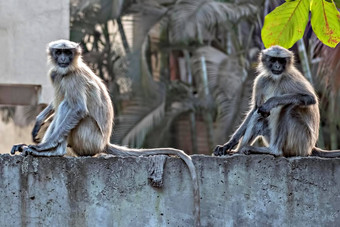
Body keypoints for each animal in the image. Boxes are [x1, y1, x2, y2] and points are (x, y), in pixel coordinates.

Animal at [9, 40, 202, 226]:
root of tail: (104, 142)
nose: (63, 59)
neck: (72, 67)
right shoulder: (57, 72)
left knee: (68, 104)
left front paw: (45, 146)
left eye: (68, 52)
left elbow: (78, 109)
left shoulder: (73, 77)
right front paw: (39, 121)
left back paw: (55, 150)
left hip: (88, 137)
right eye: (59, 52)